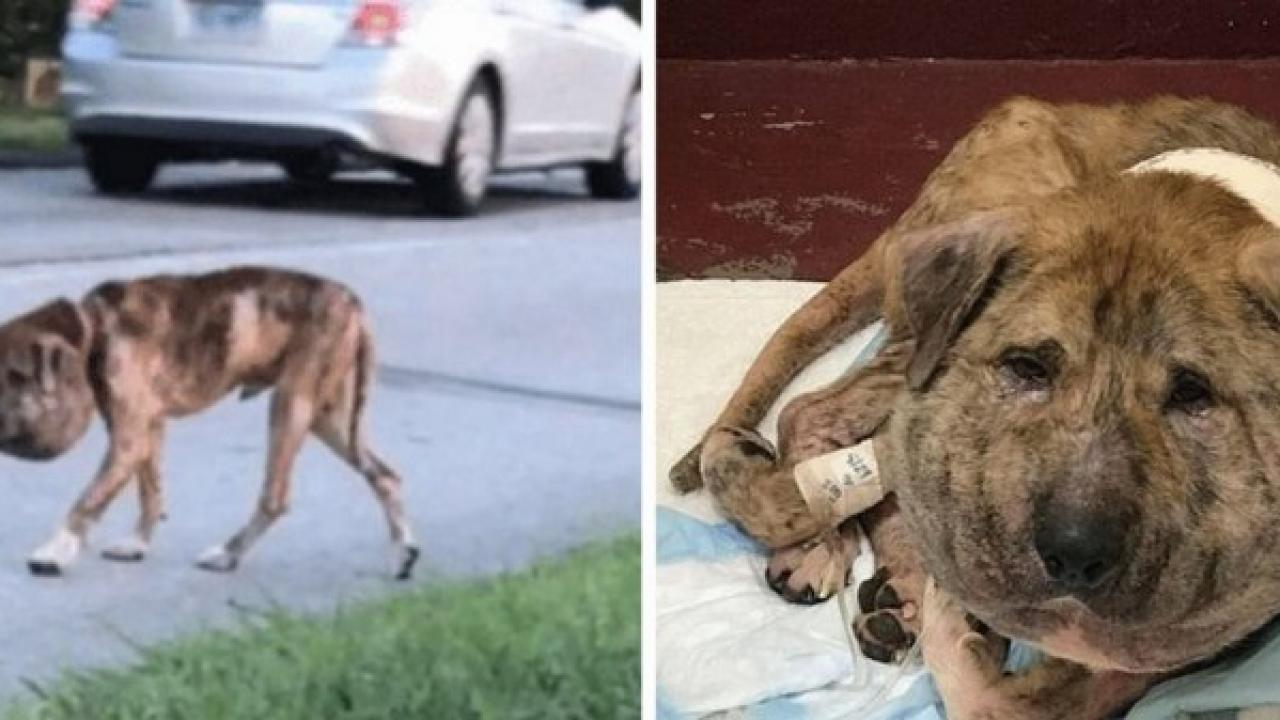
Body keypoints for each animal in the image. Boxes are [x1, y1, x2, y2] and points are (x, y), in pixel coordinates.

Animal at [0, 263, 417, 576]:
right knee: (385, 476)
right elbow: (150, 492)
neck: (96, 328)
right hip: (330, 422)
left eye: (10, 378)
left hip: (290, 406)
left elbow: (88, 499)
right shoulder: (148, 431)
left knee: (275, 497)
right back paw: (405, 551)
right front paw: (138, 543)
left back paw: (229, 554)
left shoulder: (129, 440)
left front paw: (56, 549)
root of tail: (352, 302)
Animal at [670, 96, 1280, 717]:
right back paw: (821, 540)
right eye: (1028, 368)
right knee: (816, 412)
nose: (1072, 555)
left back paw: (900, 592)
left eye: (1193, 393)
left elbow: (1016, 697)